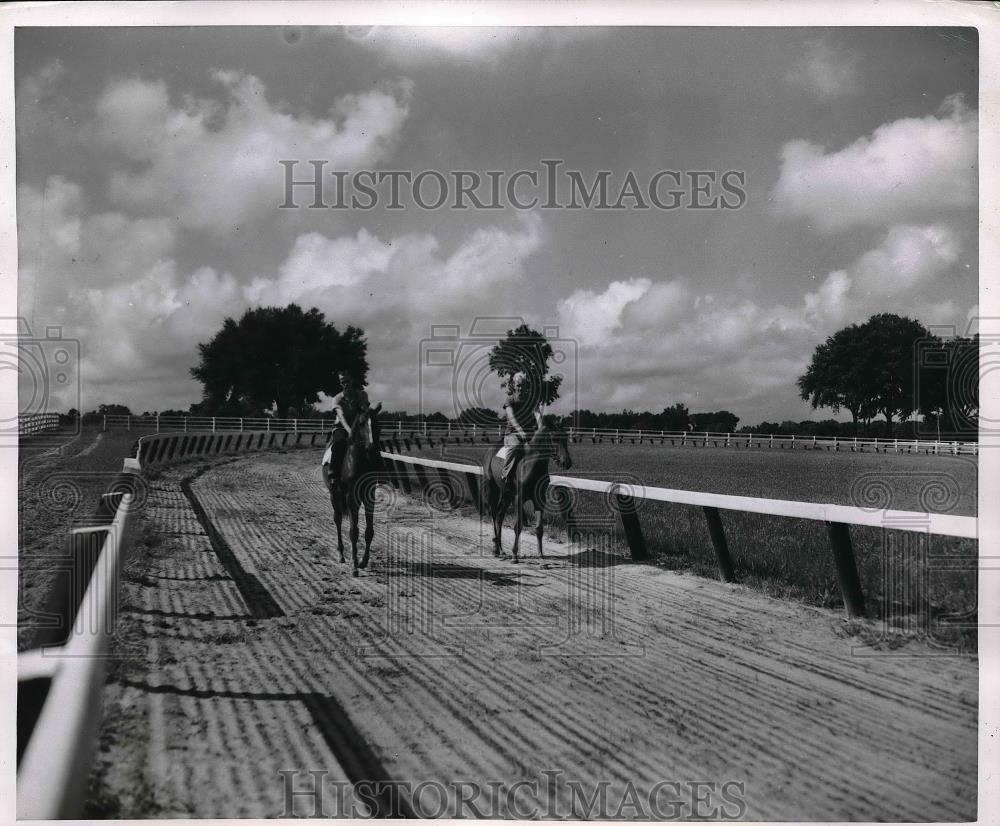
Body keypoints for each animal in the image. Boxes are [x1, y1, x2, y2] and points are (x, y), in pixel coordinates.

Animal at [320, 402, 382, 576]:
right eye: (361, 423)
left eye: (377, 423)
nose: (372, 448)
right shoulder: (350, 498)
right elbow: (354, 532)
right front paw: (354, 566)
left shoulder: (369, 497)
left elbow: (369, 531)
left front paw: (363, 561)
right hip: (335, 496)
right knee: (338, 520)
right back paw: (341, 554)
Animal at [482, 424, 572, 560]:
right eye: (554, 439)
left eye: (566, 438)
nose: (566, 463)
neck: (531, 466)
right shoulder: (519, 498)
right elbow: (518, 526)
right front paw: (515, 555)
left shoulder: (539, 500)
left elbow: (539, 528)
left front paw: (541, 555)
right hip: (492, 489)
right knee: (493, 514)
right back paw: (495, 549)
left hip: (507, 494)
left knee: (500, 516)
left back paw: (501, 549)